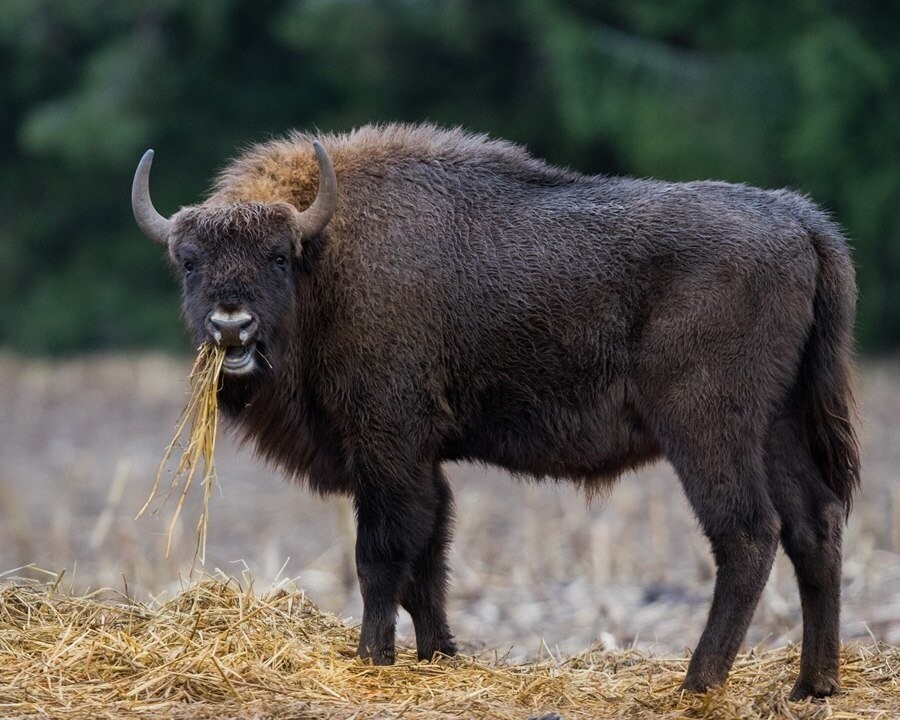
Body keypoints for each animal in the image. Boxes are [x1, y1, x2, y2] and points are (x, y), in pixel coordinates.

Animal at [132, 124, 856, 696]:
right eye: (189, 262)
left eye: (278, 256)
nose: (232, 328)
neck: (331, 255)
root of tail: (800, 221)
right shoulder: (419, 463)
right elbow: (428, 561)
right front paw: (437, 656)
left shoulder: (387, 448)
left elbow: (381, 557)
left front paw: (372, 659)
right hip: (778, 426)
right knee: (813, 526)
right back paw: (811, 685)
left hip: (708, 430)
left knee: (748, 534)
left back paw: (697, 684)